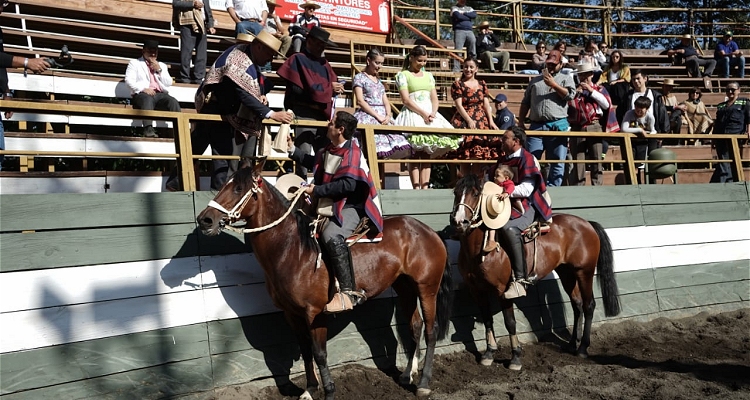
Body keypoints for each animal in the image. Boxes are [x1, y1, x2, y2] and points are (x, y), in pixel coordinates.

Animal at [197, 162, 452, 400]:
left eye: (238, 188)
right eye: (224, 185)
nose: (205, 220)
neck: (293, 250)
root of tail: (428, 230)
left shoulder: (315, 312)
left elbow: (320, 353)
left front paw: (328, 391)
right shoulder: (292, 313)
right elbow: (306, 350)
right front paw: (310, 389)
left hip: (427, 288)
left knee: (431, 330)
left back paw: (424, 383)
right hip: (405, 287)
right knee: (415, 325)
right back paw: (407, 374)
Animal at [452, 173, 624, 370]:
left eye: (475, 193)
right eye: (455, 192)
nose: (459, 222)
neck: (479, 250)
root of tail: (587, 224)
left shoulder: (503, 291)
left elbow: (510, 322)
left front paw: (516, 357)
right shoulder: (477, 290)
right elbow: (488, 319)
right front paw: (489, 354)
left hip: (584, 273)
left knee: (589, 305)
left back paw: (582, 348)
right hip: (567, 274)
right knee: (577, 305)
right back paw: (572, 344)